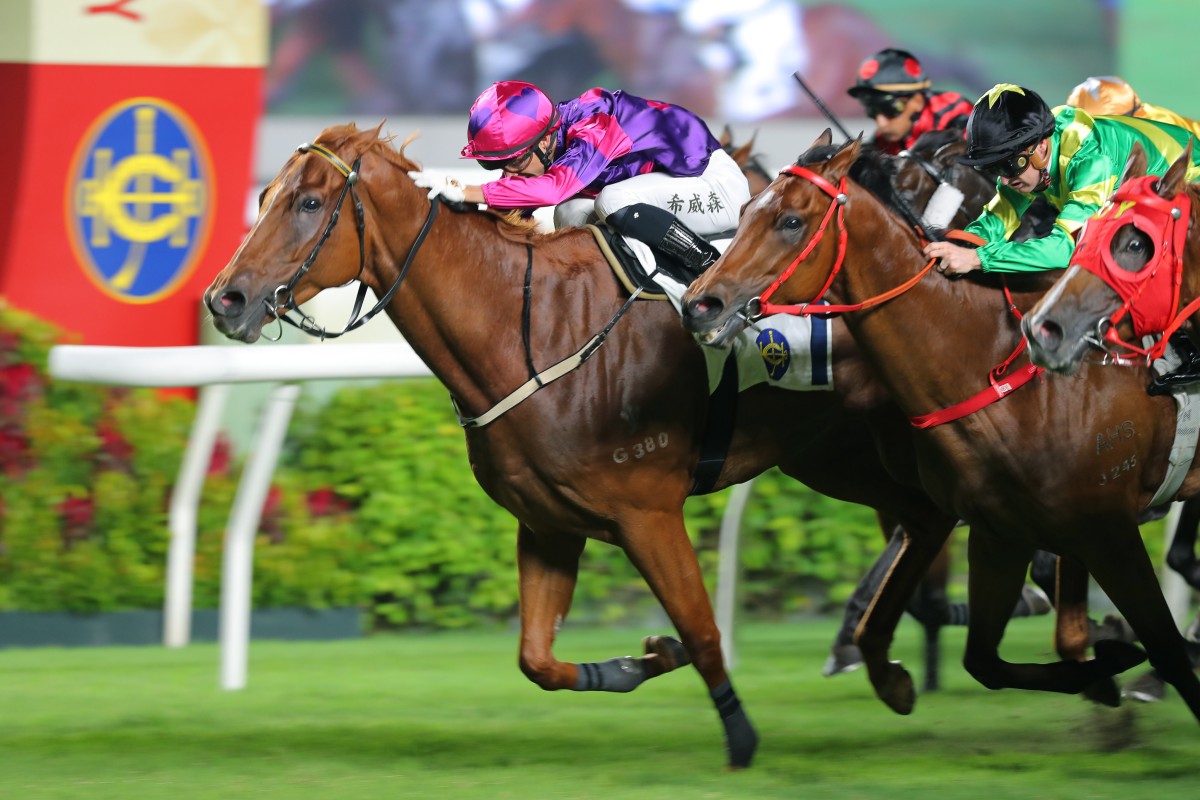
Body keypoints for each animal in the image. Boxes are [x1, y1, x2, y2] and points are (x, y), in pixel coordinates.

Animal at [201, 122, 960, 767]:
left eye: (307, 202)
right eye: (263, 197)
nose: (224, 300)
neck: (528, 327)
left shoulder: (648, 512)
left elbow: (703, 631)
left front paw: (741, 740)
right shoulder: (547, 521)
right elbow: (537, 659)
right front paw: (640, 660)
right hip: (833, 454)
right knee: (926, 519)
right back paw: (887, 665)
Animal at [681, 133, 1200, 724]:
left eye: (790, 221)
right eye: (744, 211)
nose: (699, 302)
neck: (989, 364)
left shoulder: (1102, 524)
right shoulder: (1002, 529)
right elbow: (991, 656)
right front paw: (1107, 657)